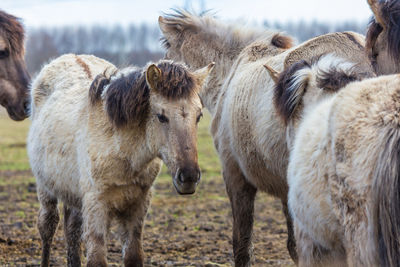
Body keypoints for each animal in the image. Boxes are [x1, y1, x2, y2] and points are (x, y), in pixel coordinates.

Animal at [27, 53, 214, 266]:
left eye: (199, 116)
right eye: (161, 116)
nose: (189, 177)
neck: (121, 149)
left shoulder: (138, 204)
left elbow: (133, 256)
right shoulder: (96, 204)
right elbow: (97, 259)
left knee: (72, 232)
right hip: (45, 189)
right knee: (48, 227)